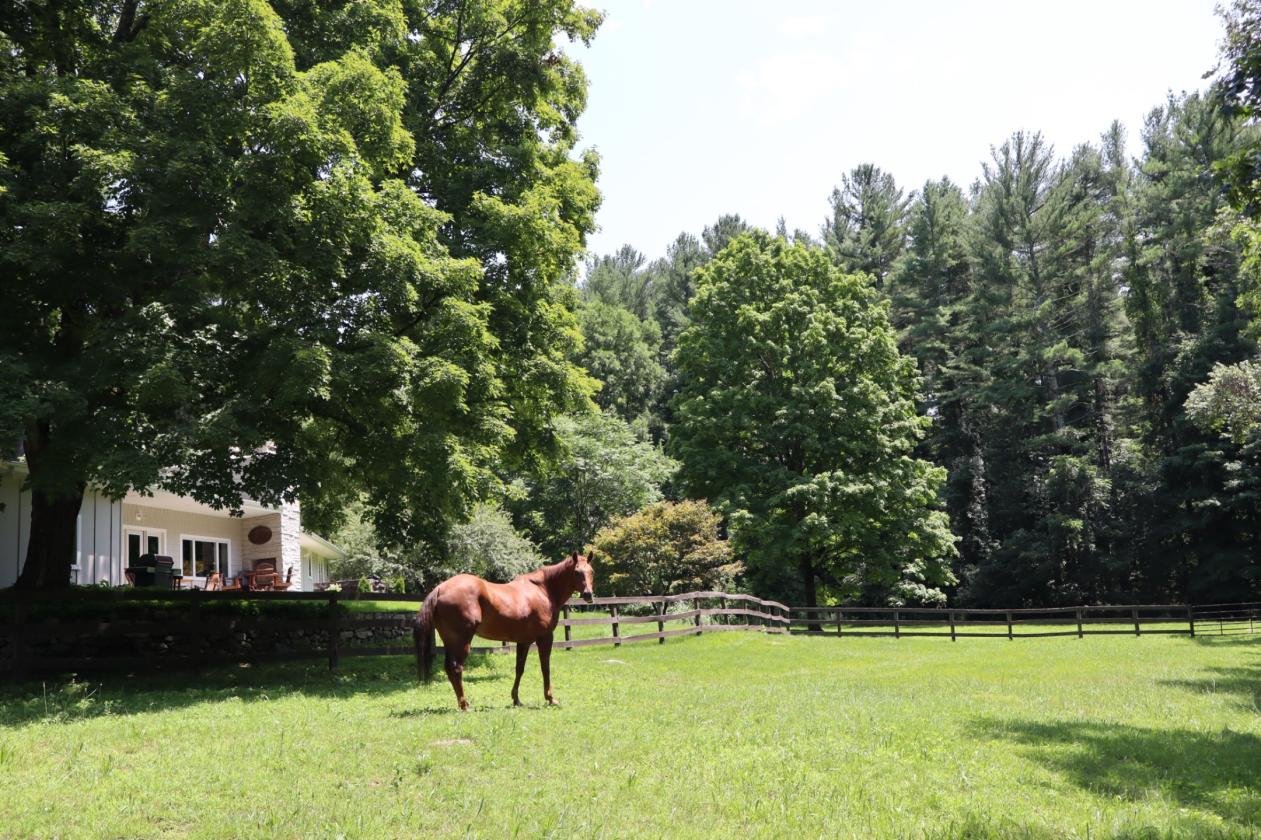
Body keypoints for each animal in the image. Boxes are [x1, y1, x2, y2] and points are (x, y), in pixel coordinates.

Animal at [414, 551, 596, 710]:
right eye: (577, 572)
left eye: (591, 571)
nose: (588, 595)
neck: (543, 590)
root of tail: (440, 589)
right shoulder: (545, 638)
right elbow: (546, 667)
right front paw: (550, 698)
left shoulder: (524, 642)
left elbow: (519, 669)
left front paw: (516, 699)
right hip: (462, 641)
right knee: (456, 668)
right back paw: (465, 705)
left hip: (450, 641)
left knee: (449, 669)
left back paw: (462, 703)